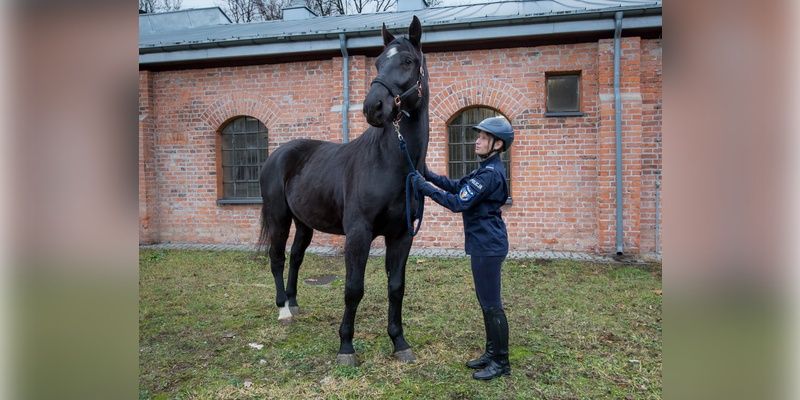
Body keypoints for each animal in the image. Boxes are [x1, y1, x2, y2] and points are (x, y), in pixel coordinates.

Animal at [260, 16, 428, 366]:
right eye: (378, 61)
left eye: (408, 61)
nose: (373, 107)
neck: (390, 163)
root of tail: (277, 154)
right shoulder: (359, 233)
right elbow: (353, 288)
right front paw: (346, 347)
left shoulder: (402, 235)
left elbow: (396, 287)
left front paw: (399, 342)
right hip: (279, 217)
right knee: (277, 258)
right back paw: (283, 309)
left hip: (304, 223)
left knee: (296, 257)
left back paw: (294, 303)